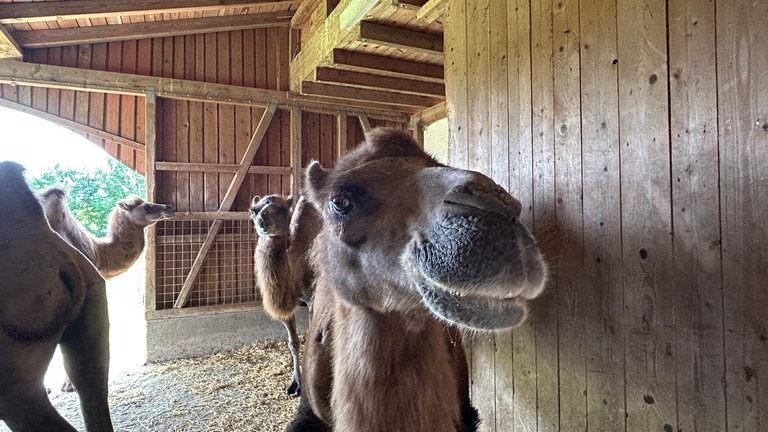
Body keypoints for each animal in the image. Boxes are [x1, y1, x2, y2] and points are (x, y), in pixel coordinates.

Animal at [250, 194, 321, 396]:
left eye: (282, 209)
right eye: (253, 211)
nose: (262, 220)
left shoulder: (312, 297)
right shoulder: (286, 304)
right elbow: (293, 342)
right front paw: (295, 383)